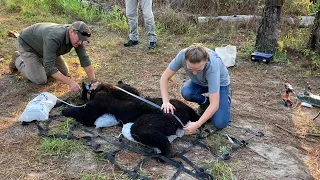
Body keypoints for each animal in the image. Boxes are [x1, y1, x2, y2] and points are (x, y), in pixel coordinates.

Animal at [61, 81, 199, 156]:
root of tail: (180, 117)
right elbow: (130, 88)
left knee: (143, 131)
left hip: (155, 121)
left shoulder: (97, 103)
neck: (96, 90)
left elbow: (86, 116)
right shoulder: (126, 89)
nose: (78, 96)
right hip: (177, 103)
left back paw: (162, 155)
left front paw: (66, 110)